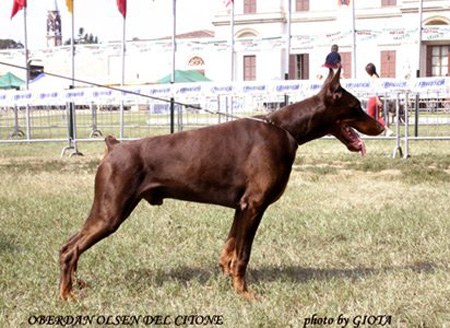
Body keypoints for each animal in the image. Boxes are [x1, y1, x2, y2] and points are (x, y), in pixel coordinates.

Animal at [59, 68, 384, 300]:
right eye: (356, 106)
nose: (382, 126)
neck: (286, 130)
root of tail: (113, 146)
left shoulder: (241, 206)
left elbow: (230, 250)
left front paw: (230, 281)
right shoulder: (254, 205)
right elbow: (243, 255)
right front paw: (245, 294)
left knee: (70, 244)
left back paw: (77, 284)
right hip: (111, 211)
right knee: (69, 249)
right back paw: (67, 295)